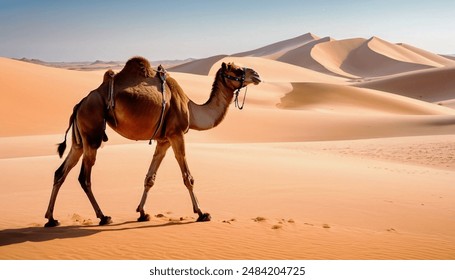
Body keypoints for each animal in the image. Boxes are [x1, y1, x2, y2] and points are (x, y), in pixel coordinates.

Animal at [44, 57, 262, 228]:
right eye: (237, 70)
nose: (257, 74)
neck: (191, 109)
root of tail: (79, 104)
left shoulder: (163, 140)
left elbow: (150, 177)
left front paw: (142, 212)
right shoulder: (176, 135)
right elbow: (187, 177)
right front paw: (202, 213)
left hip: (79, 140)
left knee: (60, 172)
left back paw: (51, 219)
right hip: (92, 133)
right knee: (84, 177)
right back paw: (103, 217)